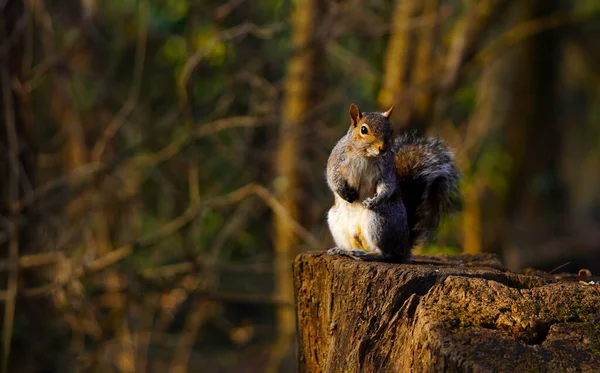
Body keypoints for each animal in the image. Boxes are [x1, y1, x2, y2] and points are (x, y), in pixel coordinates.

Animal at [324, 102, 460, 262]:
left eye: (391, 130)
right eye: (363, 129)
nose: (382, 148)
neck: (365, 156)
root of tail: (404, 246)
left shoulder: (386, 170)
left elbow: (387, 186)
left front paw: (375, 200)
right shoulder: (336, 161)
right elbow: (332, 178)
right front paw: (344, 193)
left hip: (380, 221)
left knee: (387, 253)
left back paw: (368, 254)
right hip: (336, 221)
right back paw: (343, 250)